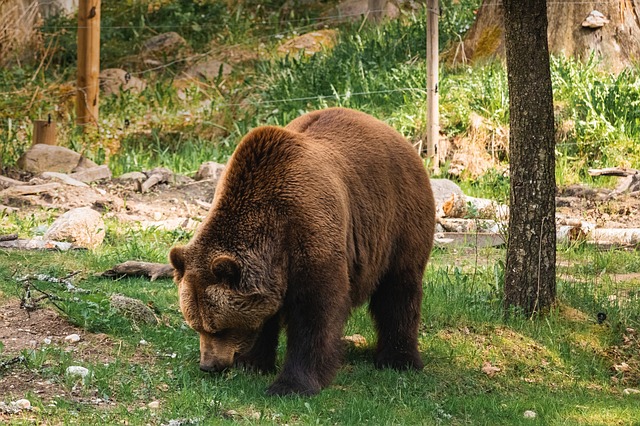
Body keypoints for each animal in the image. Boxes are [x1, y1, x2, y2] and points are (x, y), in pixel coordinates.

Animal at [169, 107, 436, 396]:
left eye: (218, 328)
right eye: (196, 325)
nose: (208, 365)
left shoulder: (310, 231)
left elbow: (315, 312)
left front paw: (291, 384)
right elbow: (265, 315)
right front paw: (252, 362)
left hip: (397, 219)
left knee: (398, 289)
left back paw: (398, 359)